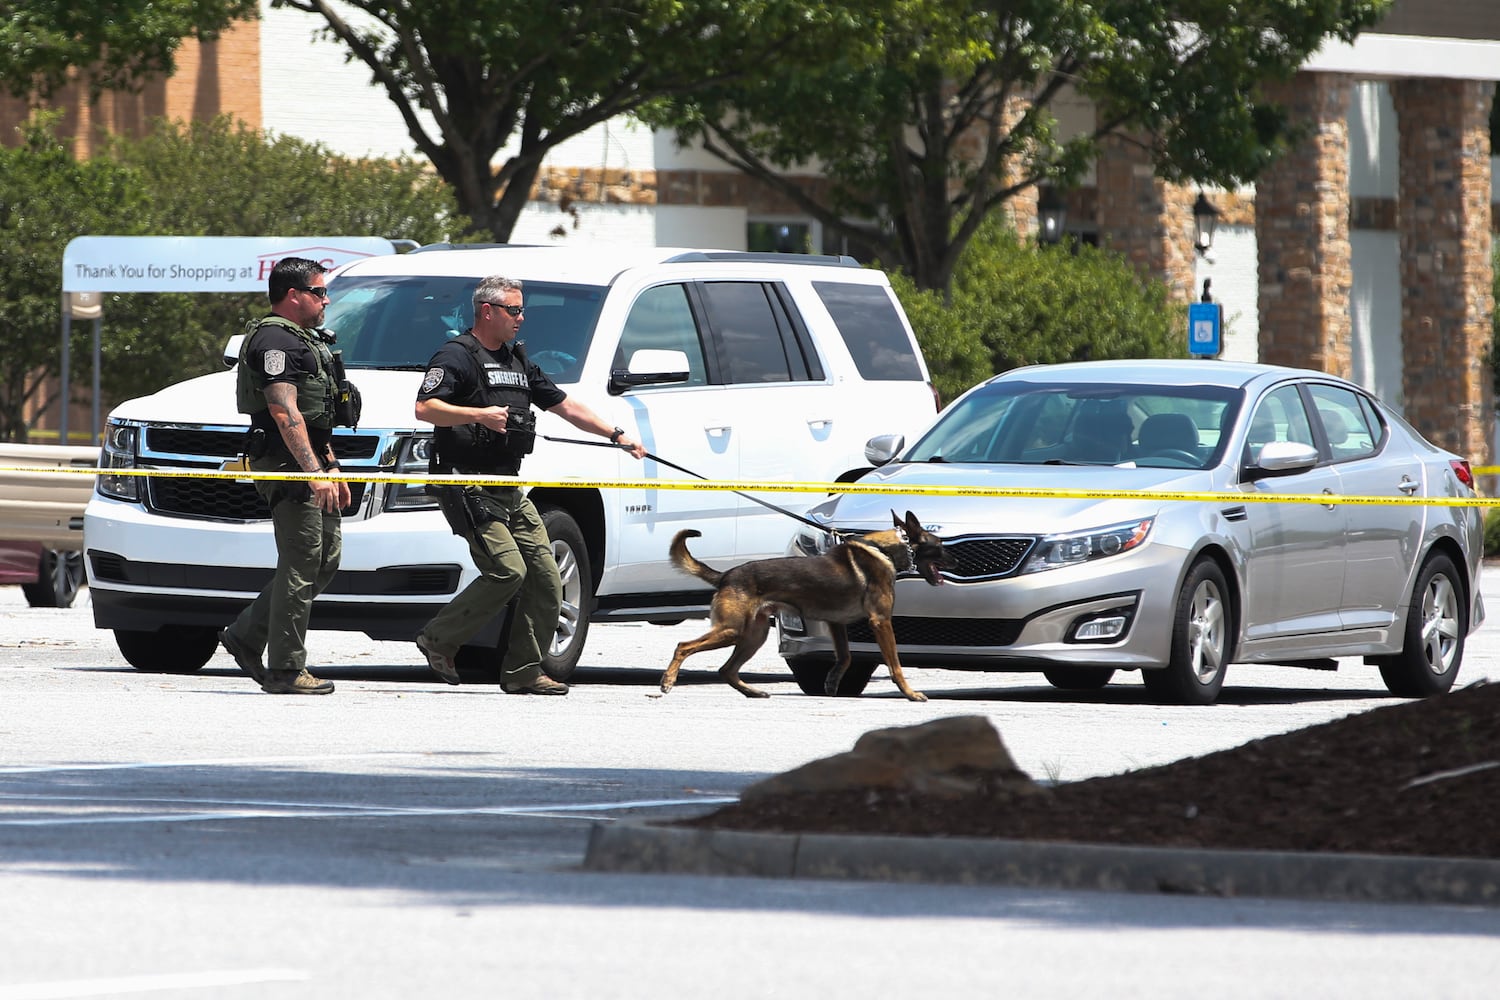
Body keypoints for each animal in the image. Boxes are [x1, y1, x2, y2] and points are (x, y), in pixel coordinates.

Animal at [657, 512, 948, 701]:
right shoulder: (881, 621)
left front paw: (832, 681)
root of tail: (725, 575)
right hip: (733, 630)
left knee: (726, 670)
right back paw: (668, 681)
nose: (956, 561)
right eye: (941, 547)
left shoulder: (836, 623)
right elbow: (895, 665)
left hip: (753, 635)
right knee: (683, 646)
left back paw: (753, 692)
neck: (885, 549)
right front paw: (910, 693)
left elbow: (845, 656)